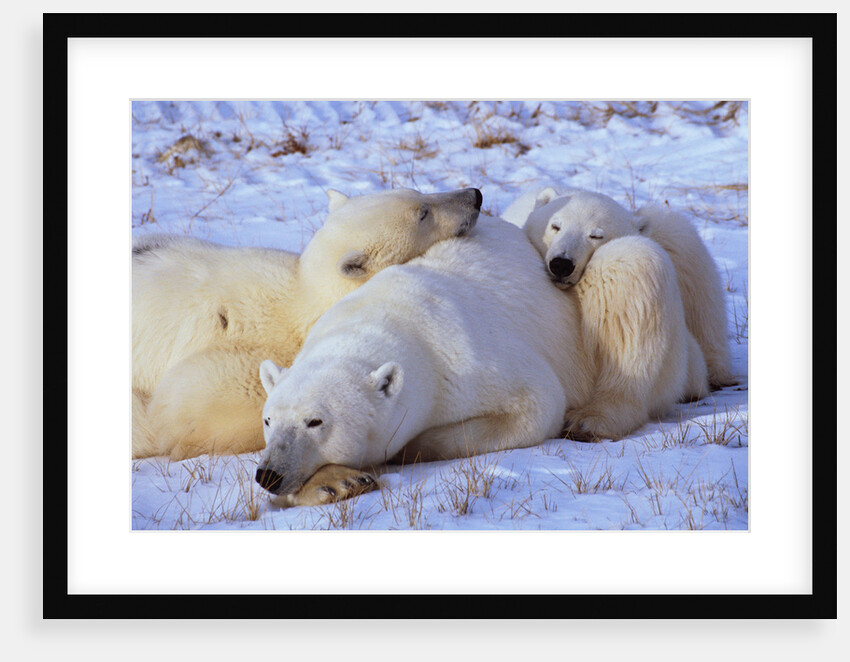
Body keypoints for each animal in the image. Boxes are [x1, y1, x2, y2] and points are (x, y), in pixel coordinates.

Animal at [254, 216, 597, 506]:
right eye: (268, 420)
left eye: (315, 421)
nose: (268, 474)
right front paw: (338, 483)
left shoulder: (469, 359)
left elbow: (537, 404)